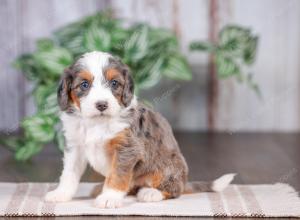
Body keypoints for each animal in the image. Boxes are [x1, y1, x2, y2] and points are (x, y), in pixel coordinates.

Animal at [45, 51, 236, 208]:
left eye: (114, 83)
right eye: (84, 85)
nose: (102, 105)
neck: (97, 123)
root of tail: (185, 181)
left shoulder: (127, 149)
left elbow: (118, 175)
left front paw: (110, 198)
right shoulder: (75, 146)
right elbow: (69, 173)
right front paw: (61, 193)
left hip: (169, 167)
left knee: (174, 190)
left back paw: (151, 193)